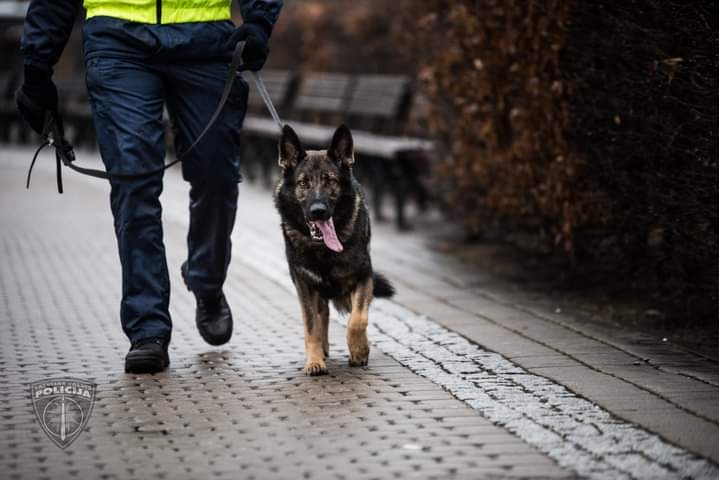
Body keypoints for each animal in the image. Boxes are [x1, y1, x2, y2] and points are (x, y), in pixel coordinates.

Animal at [276, 123, 396, 376]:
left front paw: (360, 350)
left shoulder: (362, 277)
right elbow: (311, 325)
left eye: (330, 181)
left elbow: (357, 320)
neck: (323, 249)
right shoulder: (305, 285)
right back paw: (321, 350)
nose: (318, 211)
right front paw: (314, 360)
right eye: (303, 183)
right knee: (322, 315)